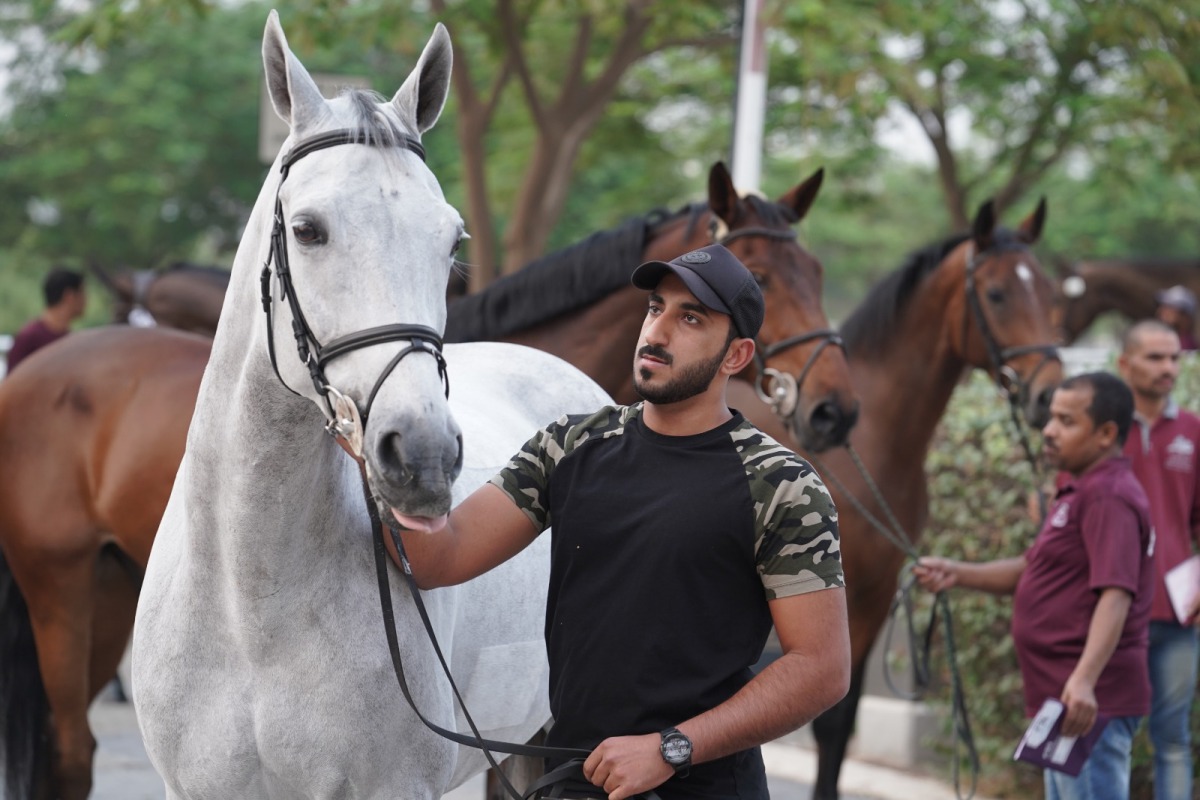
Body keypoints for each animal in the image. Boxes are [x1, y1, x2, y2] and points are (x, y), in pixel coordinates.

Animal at [726, 199, 1063, 800]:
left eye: (1050, 293)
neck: (870, 442)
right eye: (997, 293)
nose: (1050, 393)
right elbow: (828, 718)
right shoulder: (836, 589)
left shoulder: (874, 593)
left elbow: (841, 721)